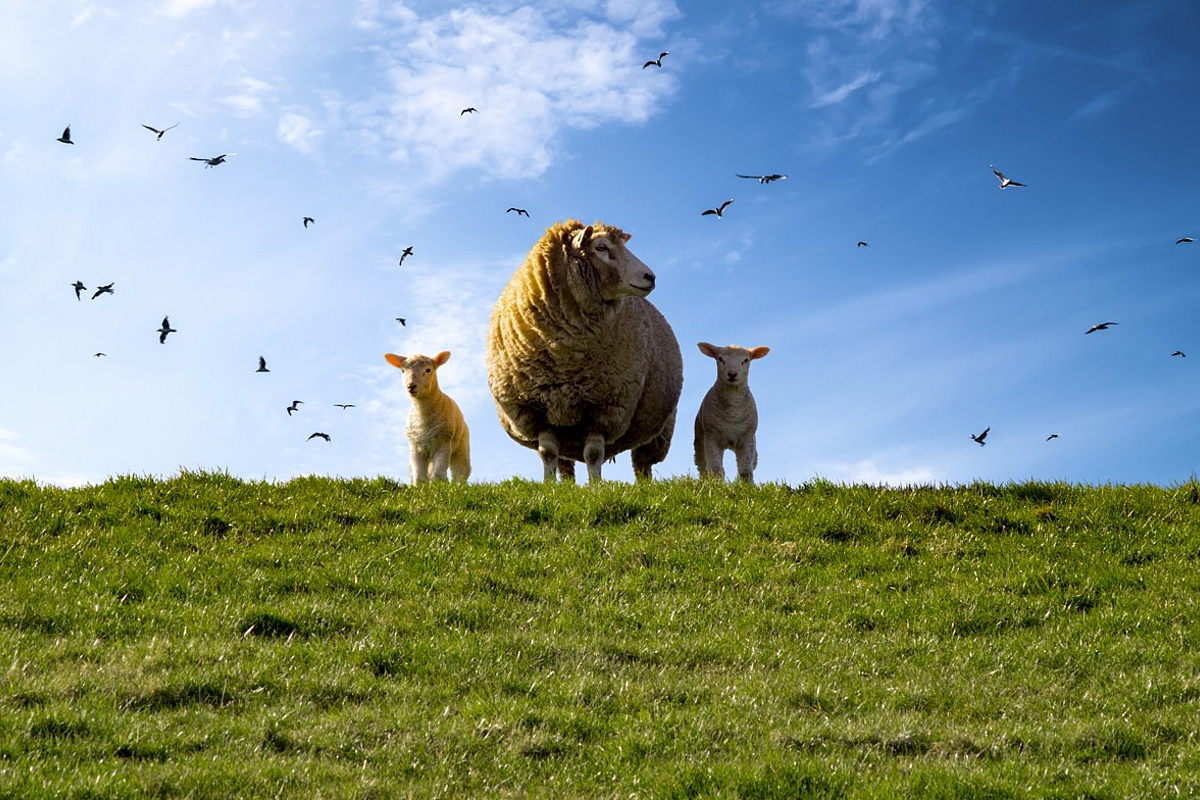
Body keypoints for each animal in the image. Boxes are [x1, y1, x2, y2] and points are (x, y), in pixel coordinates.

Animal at [384, 350, 471, 484]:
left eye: (428, 370)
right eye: (403, 371)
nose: (411, 386)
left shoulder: (444, 443)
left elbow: (438, 474)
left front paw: (439, 487)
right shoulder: (415, 447)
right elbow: (419, 476)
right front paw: (420, 488)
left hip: (461, 446)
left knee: (460, 472)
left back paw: (458, 486)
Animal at [486, 219, 683, 483]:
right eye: (601, 247)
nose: (650, 277)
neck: (565, 354)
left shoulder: (605, 407)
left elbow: (593, 454)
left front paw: (596, 485)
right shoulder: (538, 410)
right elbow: (548, 453)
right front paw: (548, 485)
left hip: (658, 429)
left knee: (643, 463)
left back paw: (643, 485)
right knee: (564, 461)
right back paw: (567, 485)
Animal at [693, 342, 770, 483]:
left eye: (746, 360)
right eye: (720, 359)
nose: (732, 374)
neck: (732, 414)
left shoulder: (747, 438)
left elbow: (745, 471)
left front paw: (746, 486)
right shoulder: (712, 437)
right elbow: (716, 469)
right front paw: (717, 485)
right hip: (699, 440)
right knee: (702, 466)